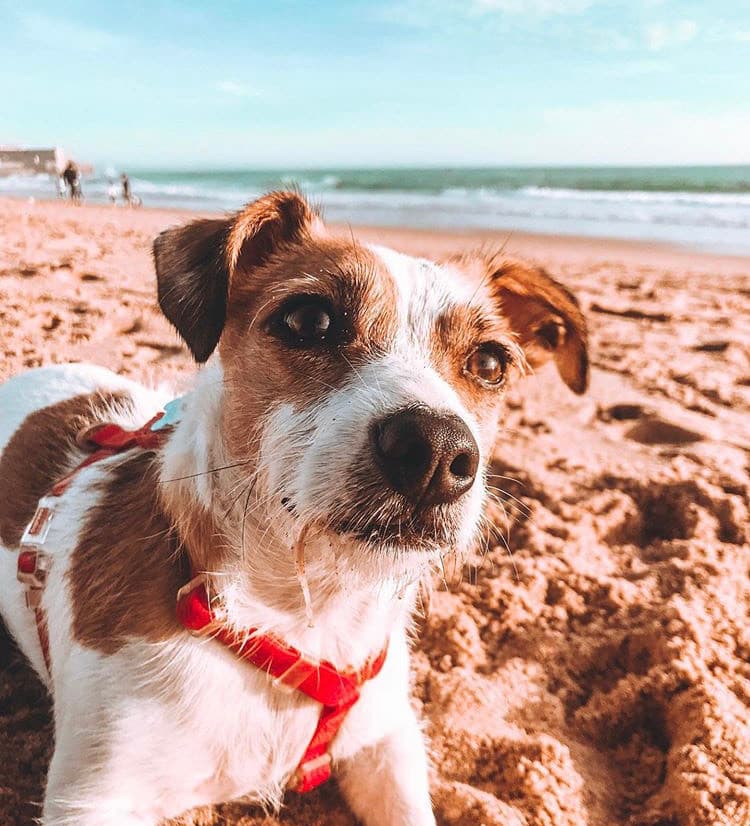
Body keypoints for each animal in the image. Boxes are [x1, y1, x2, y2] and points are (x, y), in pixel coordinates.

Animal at [0, 190, 588, 820]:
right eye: (310, 320)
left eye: (490, 363)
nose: (434, 451)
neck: (298, 614)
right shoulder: (92, 799)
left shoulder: (386, 740)